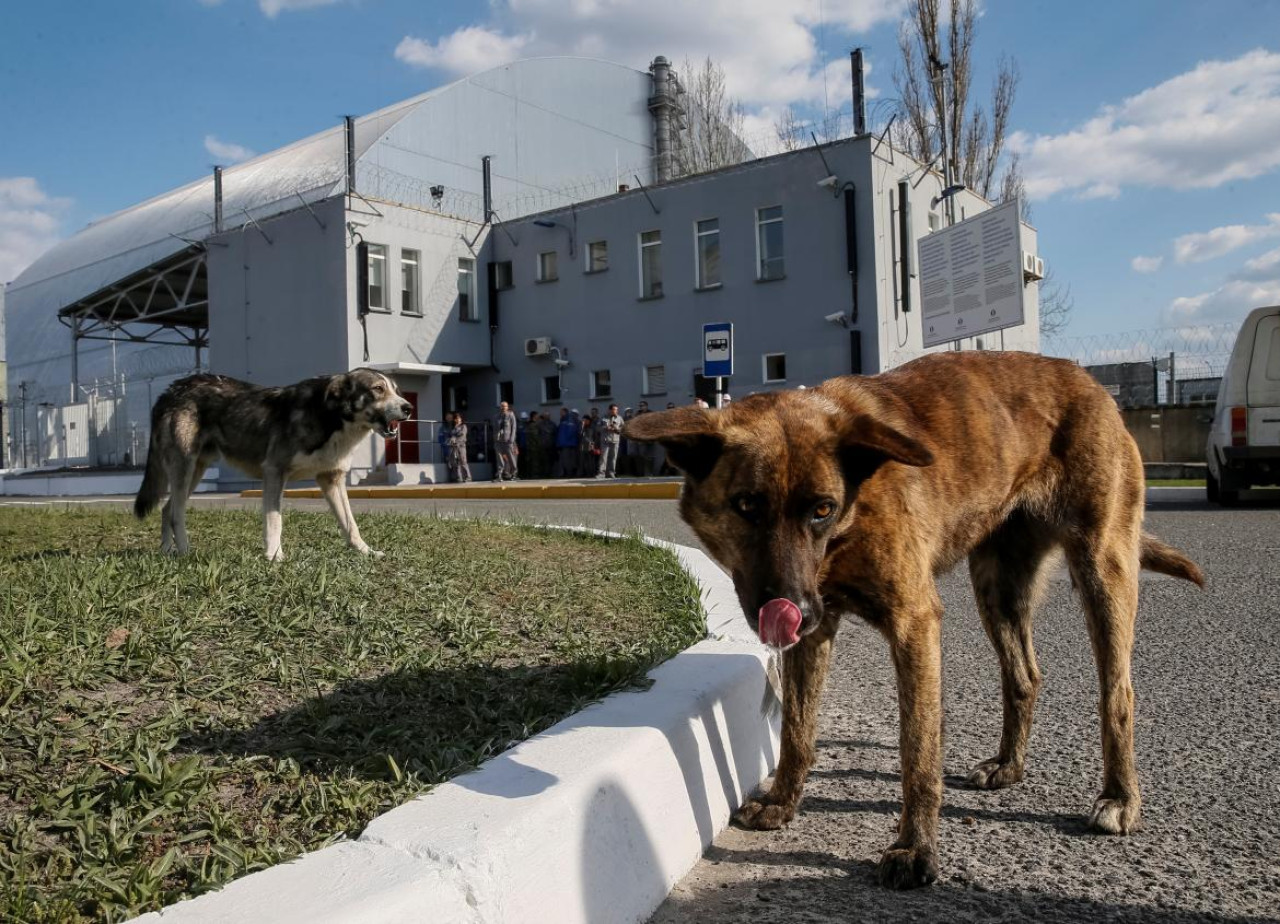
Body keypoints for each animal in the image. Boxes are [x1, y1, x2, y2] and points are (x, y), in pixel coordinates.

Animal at [133, 366, 409, 555]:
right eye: (378, 389)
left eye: (397, 390)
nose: (408, 408)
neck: (331, 416)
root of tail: (170, 390)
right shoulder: (275, 472)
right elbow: (275, 520)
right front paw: (275, 556)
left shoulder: (331, 479)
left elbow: (351, 524)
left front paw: (365, 552)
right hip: (185, 467)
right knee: (176, 513)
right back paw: (185, 552)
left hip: (195, 471)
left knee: (167, 509)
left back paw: (167, 551)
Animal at [624, 350, 1203, 885]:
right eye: (746, 505)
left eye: (822, 509)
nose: (796, 610)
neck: (851, 518)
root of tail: (1088, 380)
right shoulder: (815, 634)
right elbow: (797, 729)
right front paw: (783, 801)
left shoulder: (914, 624)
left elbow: (918, 751)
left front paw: (915, 848)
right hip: (997, 586)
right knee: (1024, 674)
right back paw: (1008, 765)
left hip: (1102, 570)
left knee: (1118, 692)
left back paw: (1120, 797)